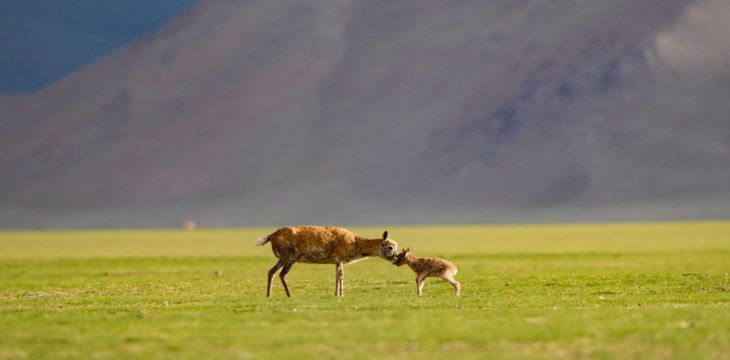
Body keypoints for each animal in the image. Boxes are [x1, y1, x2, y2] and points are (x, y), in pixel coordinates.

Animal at [256, 225, 398, 298]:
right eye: (390, 247)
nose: (397, 259)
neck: (355, 242)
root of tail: (272, 235)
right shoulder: (339, 259)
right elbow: (341, 276)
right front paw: (341, 295)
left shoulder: (337, 262)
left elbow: (336, 276)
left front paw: (336, 294)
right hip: (290, 259)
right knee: (282, 274)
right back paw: (290, 295)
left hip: (282, 260)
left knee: (271, 272)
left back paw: (268, 295)